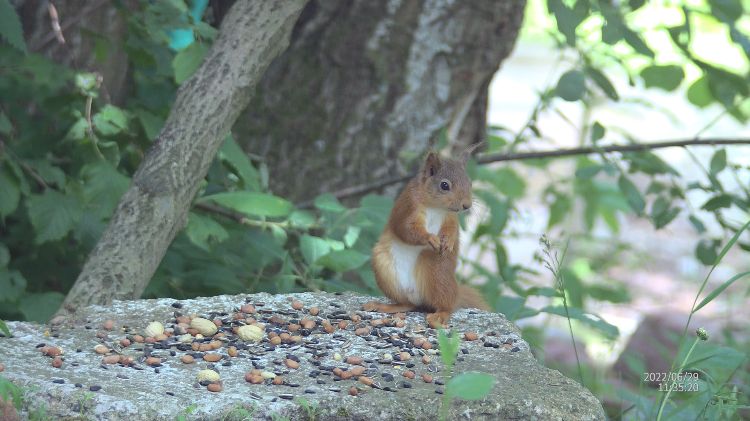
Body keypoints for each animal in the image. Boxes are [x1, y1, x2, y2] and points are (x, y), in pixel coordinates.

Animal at [362, 146, 490, 326]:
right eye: (444, 185)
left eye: (470, 182)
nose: (467, 205)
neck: (436, 207)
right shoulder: (408, 207)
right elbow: (406, 229)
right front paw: (430, 239)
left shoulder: (450, 218)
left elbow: (452, 230)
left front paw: (449, 242)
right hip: (385, 270)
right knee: (407, 304)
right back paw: (386, 306)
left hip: (438, 273)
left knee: (445, 305)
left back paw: (440, 315)